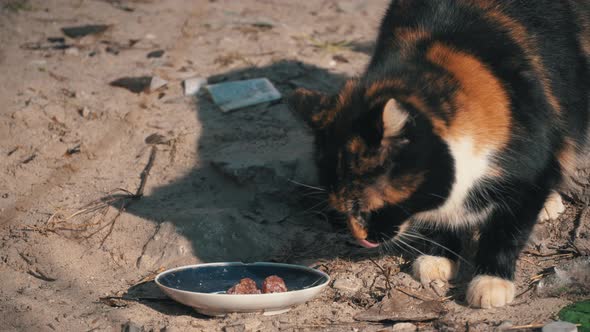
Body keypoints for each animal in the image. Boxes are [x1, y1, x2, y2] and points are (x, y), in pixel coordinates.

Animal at [292, 0, 590, 310]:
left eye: (365, 206)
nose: (362, 240)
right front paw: (439, 255)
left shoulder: (528, 168)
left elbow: (509, 226)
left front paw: (492, 280)